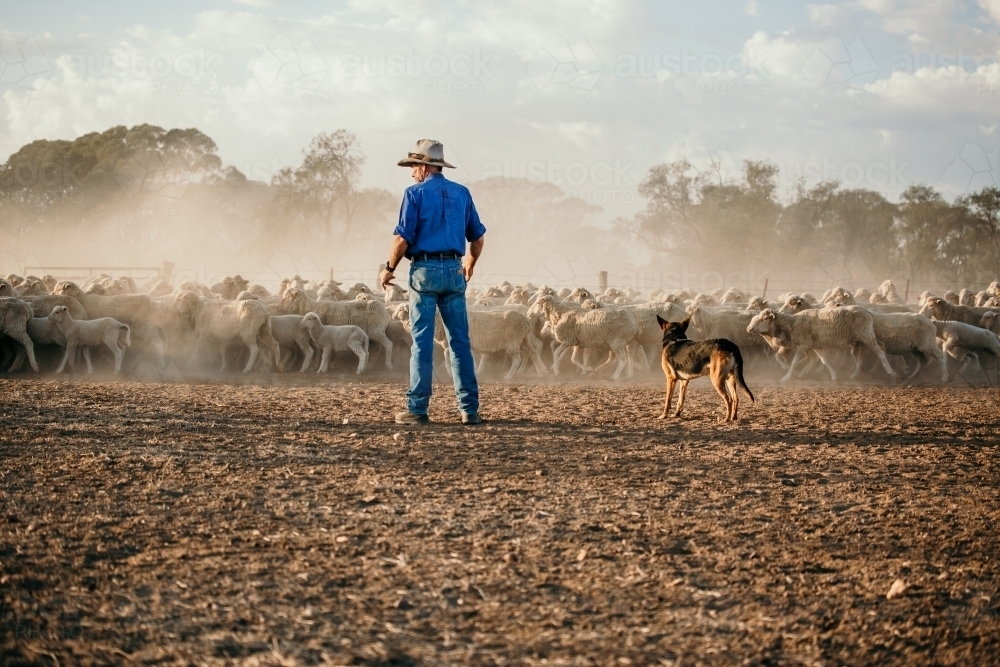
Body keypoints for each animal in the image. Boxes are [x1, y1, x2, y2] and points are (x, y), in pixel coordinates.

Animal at [748, 306, 896, 380]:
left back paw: (890, 371)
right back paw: (855, 374)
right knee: (861, 356)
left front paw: (787, 376)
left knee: (879, 352)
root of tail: (869, 313)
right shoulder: (815, 345)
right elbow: (823, 360)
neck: (791, 324)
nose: (749, 329)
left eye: (763, 319)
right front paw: (833, 375)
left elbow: (796, 361)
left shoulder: (802, 345)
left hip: (866, 336)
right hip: (858, 341)